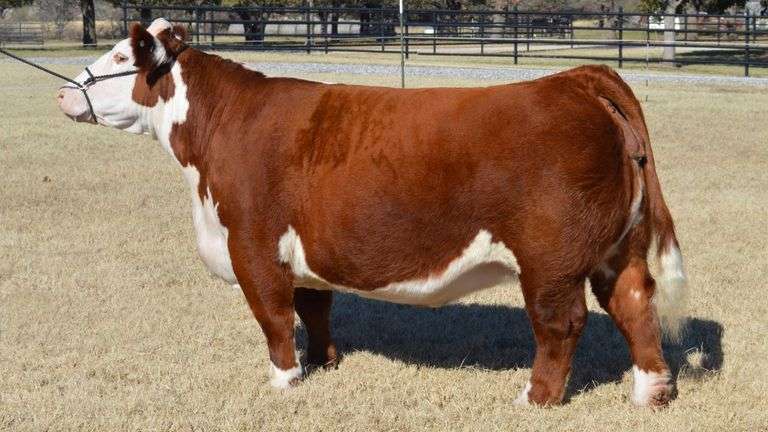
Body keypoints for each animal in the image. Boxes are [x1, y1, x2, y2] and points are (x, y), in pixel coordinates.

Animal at [56, 19, 687, 407]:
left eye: (119, 55)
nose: (63, 92)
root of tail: (577, 79)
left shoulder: (253, 245)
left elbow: (274, 317)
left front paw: (284, 380)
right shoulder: (302, 251)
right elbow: (314, 308)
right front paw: (325, 361)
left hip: (550, 260)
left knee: (561, 324)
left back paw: (535, 399)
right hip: (617, 249)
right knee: (635, 303)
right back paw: (651, 392)